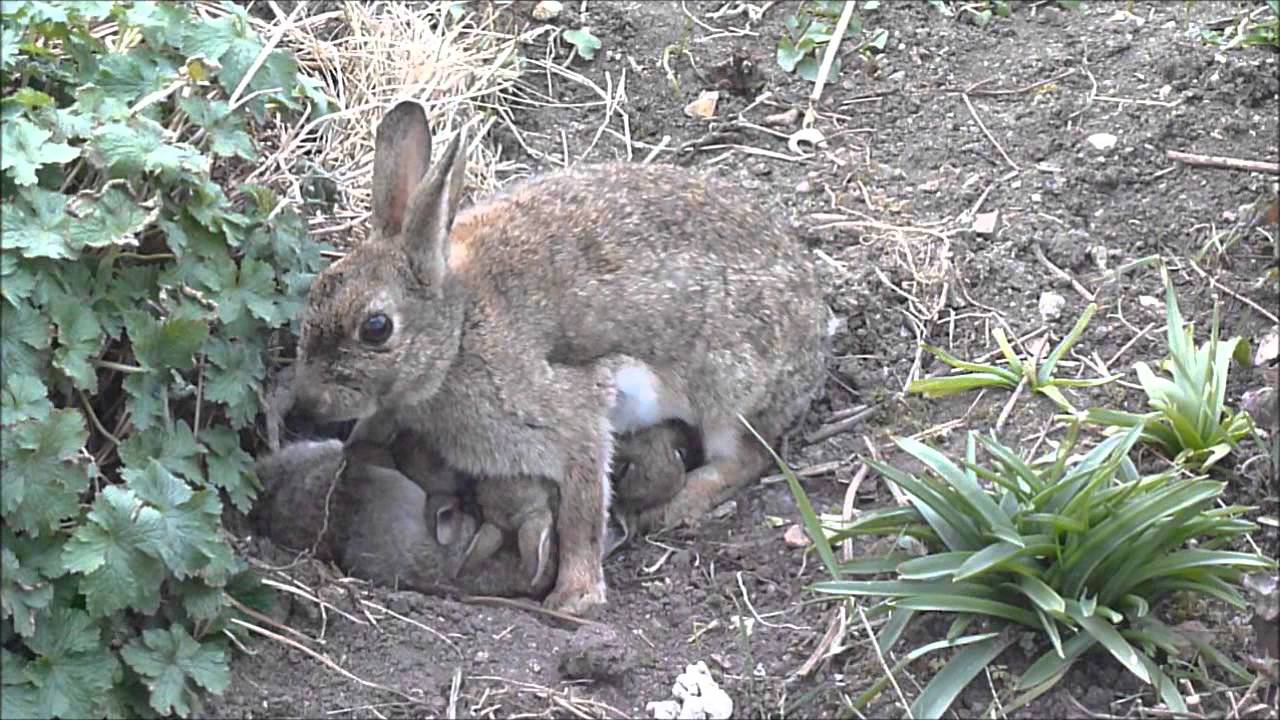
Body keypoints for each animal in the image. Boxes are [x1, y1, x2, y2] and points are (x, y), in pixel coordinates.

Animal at [290, 99, 829, 609]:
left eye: (376, 328)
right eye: (314, 294)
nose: (308, 402)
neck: (459, 332)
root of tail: (819, 323)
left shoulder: (574, 420)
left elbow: (581, 512)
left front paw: (576, 597)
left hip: (728, 391)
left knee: (746, 458)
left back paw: (673, 506)